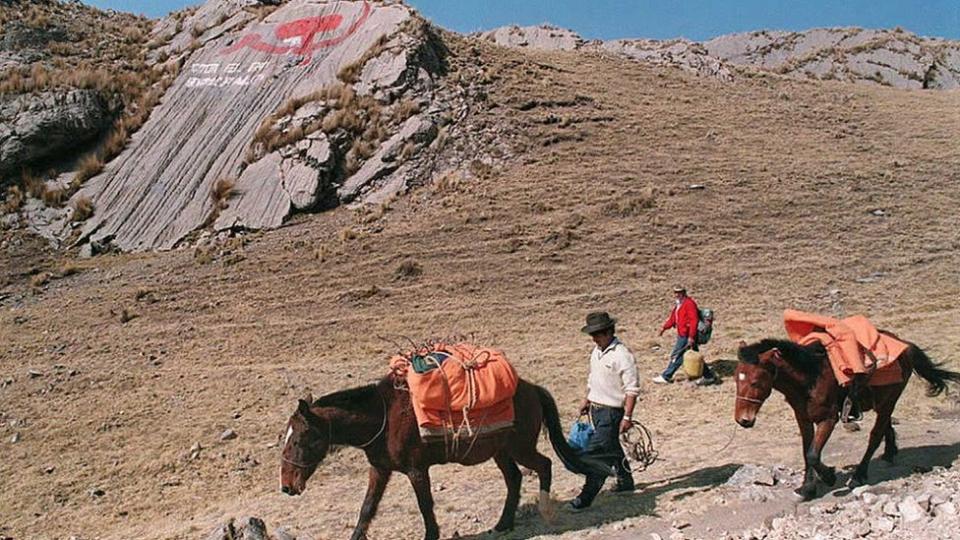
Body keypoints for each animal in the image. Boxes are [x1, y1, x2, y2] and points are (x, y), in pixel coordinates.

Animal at [280, 378, 608, 540]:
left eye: (297, 440)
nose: (286, 486)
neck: (383, 418)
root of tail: (533, 390)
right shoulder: (380, 470)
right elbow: (367, 508)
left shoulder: (416, 469)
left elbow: (425, 505)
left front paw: (431, 535)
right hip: (501, 452)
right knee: (514, 479)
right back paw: (503, 524)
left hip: (520, 448)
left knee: (544, 466)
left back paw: (546, 513)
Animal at [736, 336, 952, 500]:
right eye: (737, 379)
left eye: (755, 381)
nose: (742, 420)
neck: (811, 377)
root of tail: (905, 346)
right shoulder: (803, 418)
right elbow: (807, 451)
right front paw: (807, 488)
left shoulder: (828, 419)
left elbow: (813, 454)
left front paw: (829, 477)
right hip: (881, 402)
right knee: (886, 425)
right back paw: (890, 453)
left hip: (889, 400)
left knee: (875, 435)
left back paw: (859, 475)